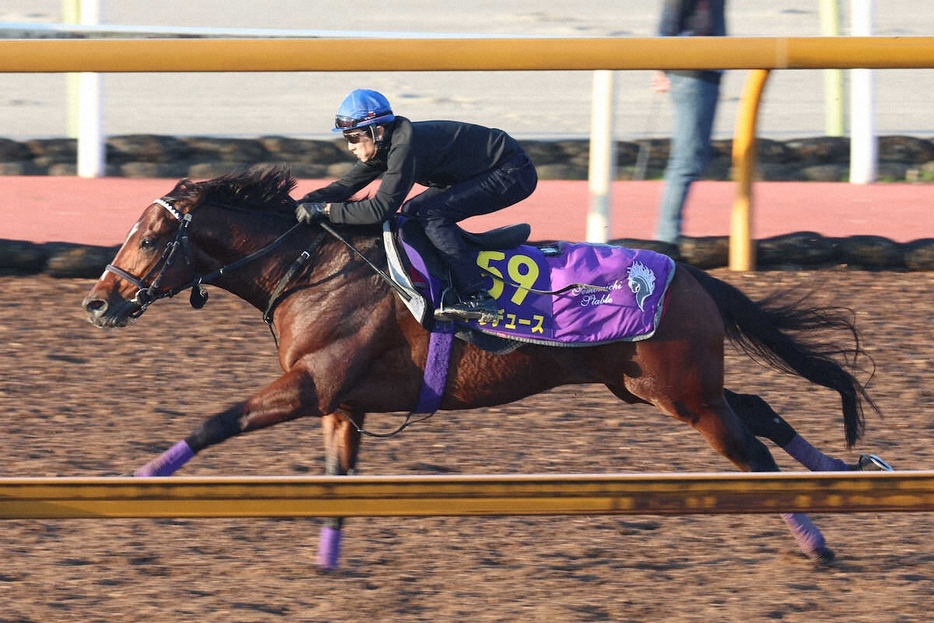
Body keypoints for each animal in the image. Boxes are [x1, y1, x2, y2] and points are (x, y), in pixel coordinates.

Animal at [82, 166, 884, 572]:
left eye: (148, 236)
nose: (98, 301)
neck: (312, 267)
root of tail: (690, 275)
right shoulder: (343, 402)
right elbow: (338, 484)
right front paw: (327, 563)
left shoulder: (311, 385)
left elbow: (214, 420)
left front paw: (144, 479)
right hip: (655, 385)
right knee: (761, 410)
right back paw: (844, 470)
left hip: (681, 393)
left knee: (751, 452)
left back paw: (818, 542)